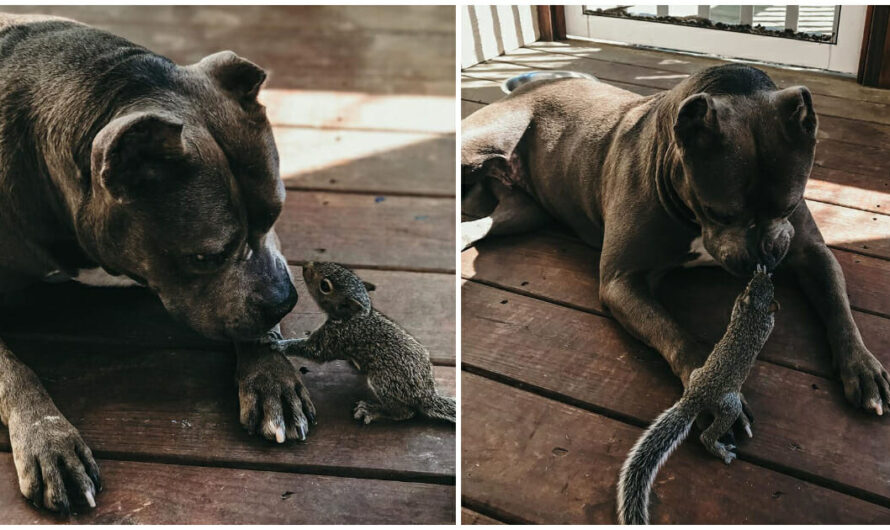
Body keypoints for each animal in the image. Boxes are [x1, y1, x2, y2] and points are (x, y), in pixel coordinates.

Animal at [0, 15, 318, 512]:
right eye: (205, 257)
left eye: (275, 215)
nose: (284, 302)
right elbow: (15, 372)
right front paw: (48, 439)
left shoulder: (272, 257)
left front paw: (272, 375)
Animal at [274, 262, 454, 422]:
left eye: (325, 286)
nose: (306, 266)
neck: (352, 317)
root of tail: (426, 396)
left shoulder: (333, 338)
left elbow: (313, 351)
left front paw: (279, 344)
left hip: (385, 381)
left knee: (404, 412)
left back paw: (373, 410)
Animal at [462, 65, 888, 434]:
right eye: (718, 212)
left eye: (790, 204)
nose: (760, 258)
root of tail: (533, 84)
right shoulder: (622, 281)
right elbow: (674, 332)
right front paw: (711, 396)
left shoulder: (812, 253)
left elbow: (838, 305)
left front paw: (862, 365)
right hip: (478, 146)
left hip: (524, 212)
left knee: (487, 221)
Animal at [616, 266, 776, 520]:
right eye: (770, 289)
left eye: (754, 284)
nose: (761, 273)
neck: (751, 314)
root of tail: (694, 397)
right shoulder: (763, 324)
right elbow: (770, 323)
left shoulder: (740, 310)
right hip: (728, 406)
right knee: (707, 435)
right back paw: (720, 450)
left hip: (696, 374)